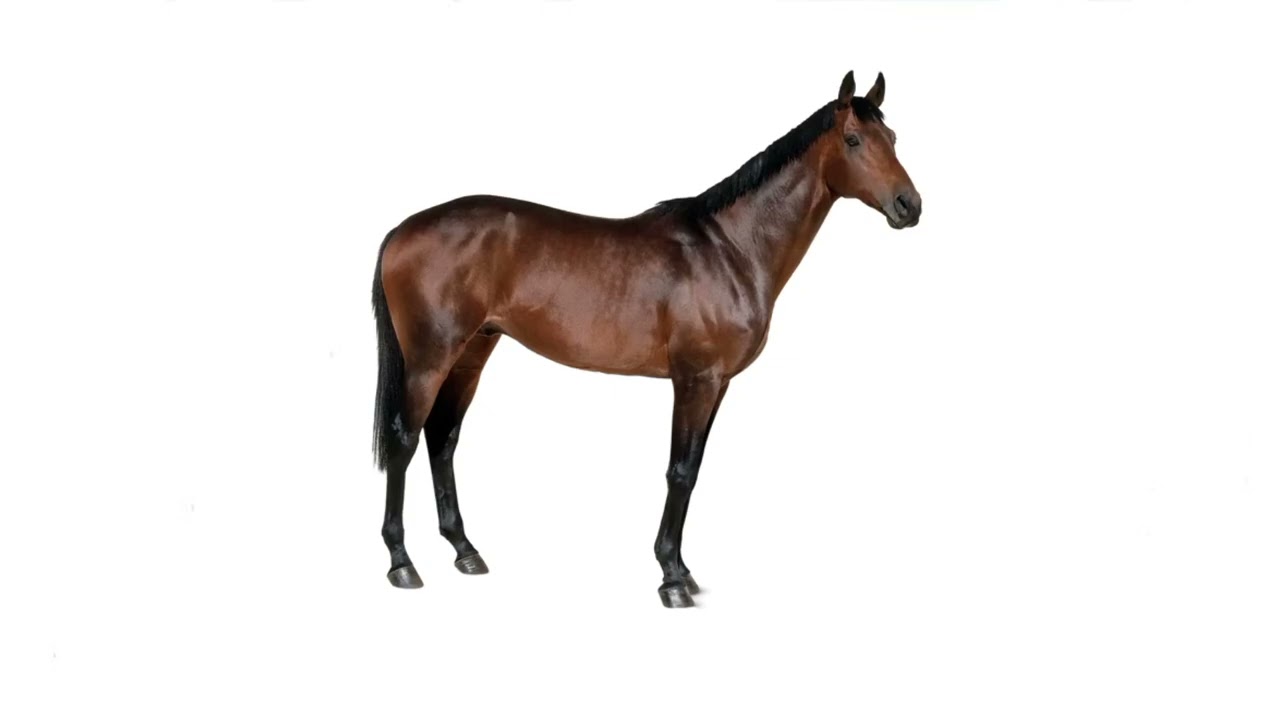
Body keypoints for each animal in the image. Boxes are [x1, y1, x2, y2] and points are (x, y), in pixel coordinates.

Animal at [370, 70, 922, 608]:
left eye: (892, 138)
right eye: (853, 140)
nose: (909, 205)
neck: (730, 248)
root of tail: (402, 229)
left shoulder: (718, 384)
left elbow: (693, 469)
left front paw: (682, 570)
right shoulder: (695, 380)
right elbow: (680, 472)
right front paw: (671, 579)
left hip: (471, 355)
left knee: (443, 440)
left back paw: (465, 550)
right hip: (429, 360)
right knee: (404, 440)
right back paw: (402, 563)